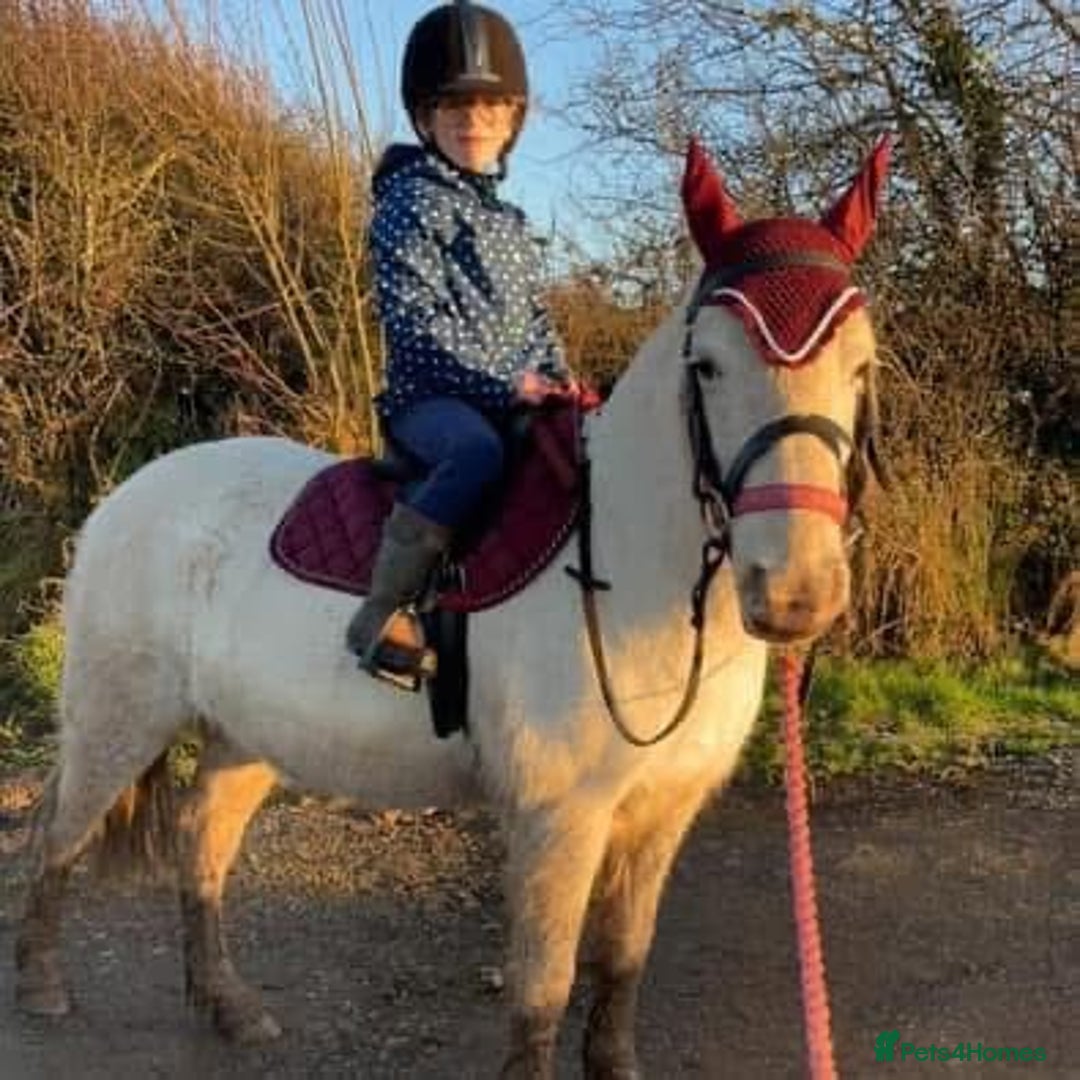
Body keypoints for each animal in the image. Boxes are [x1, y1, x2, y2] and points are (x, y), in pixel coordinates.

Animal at [15, 136, 890, 1078]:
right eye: (709, 366)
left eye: (862, 366)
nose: (795, 592)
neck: (626, 565)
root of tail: (126, 496)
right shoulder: (558, 820)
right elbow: (542, 991)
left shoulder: (661, 814)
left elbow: (623, 960)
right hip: (119, 719)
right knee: (59, 835)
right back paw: (43, 987)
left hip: (242, 737)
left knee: (201, 845)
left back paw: (230, 1008)